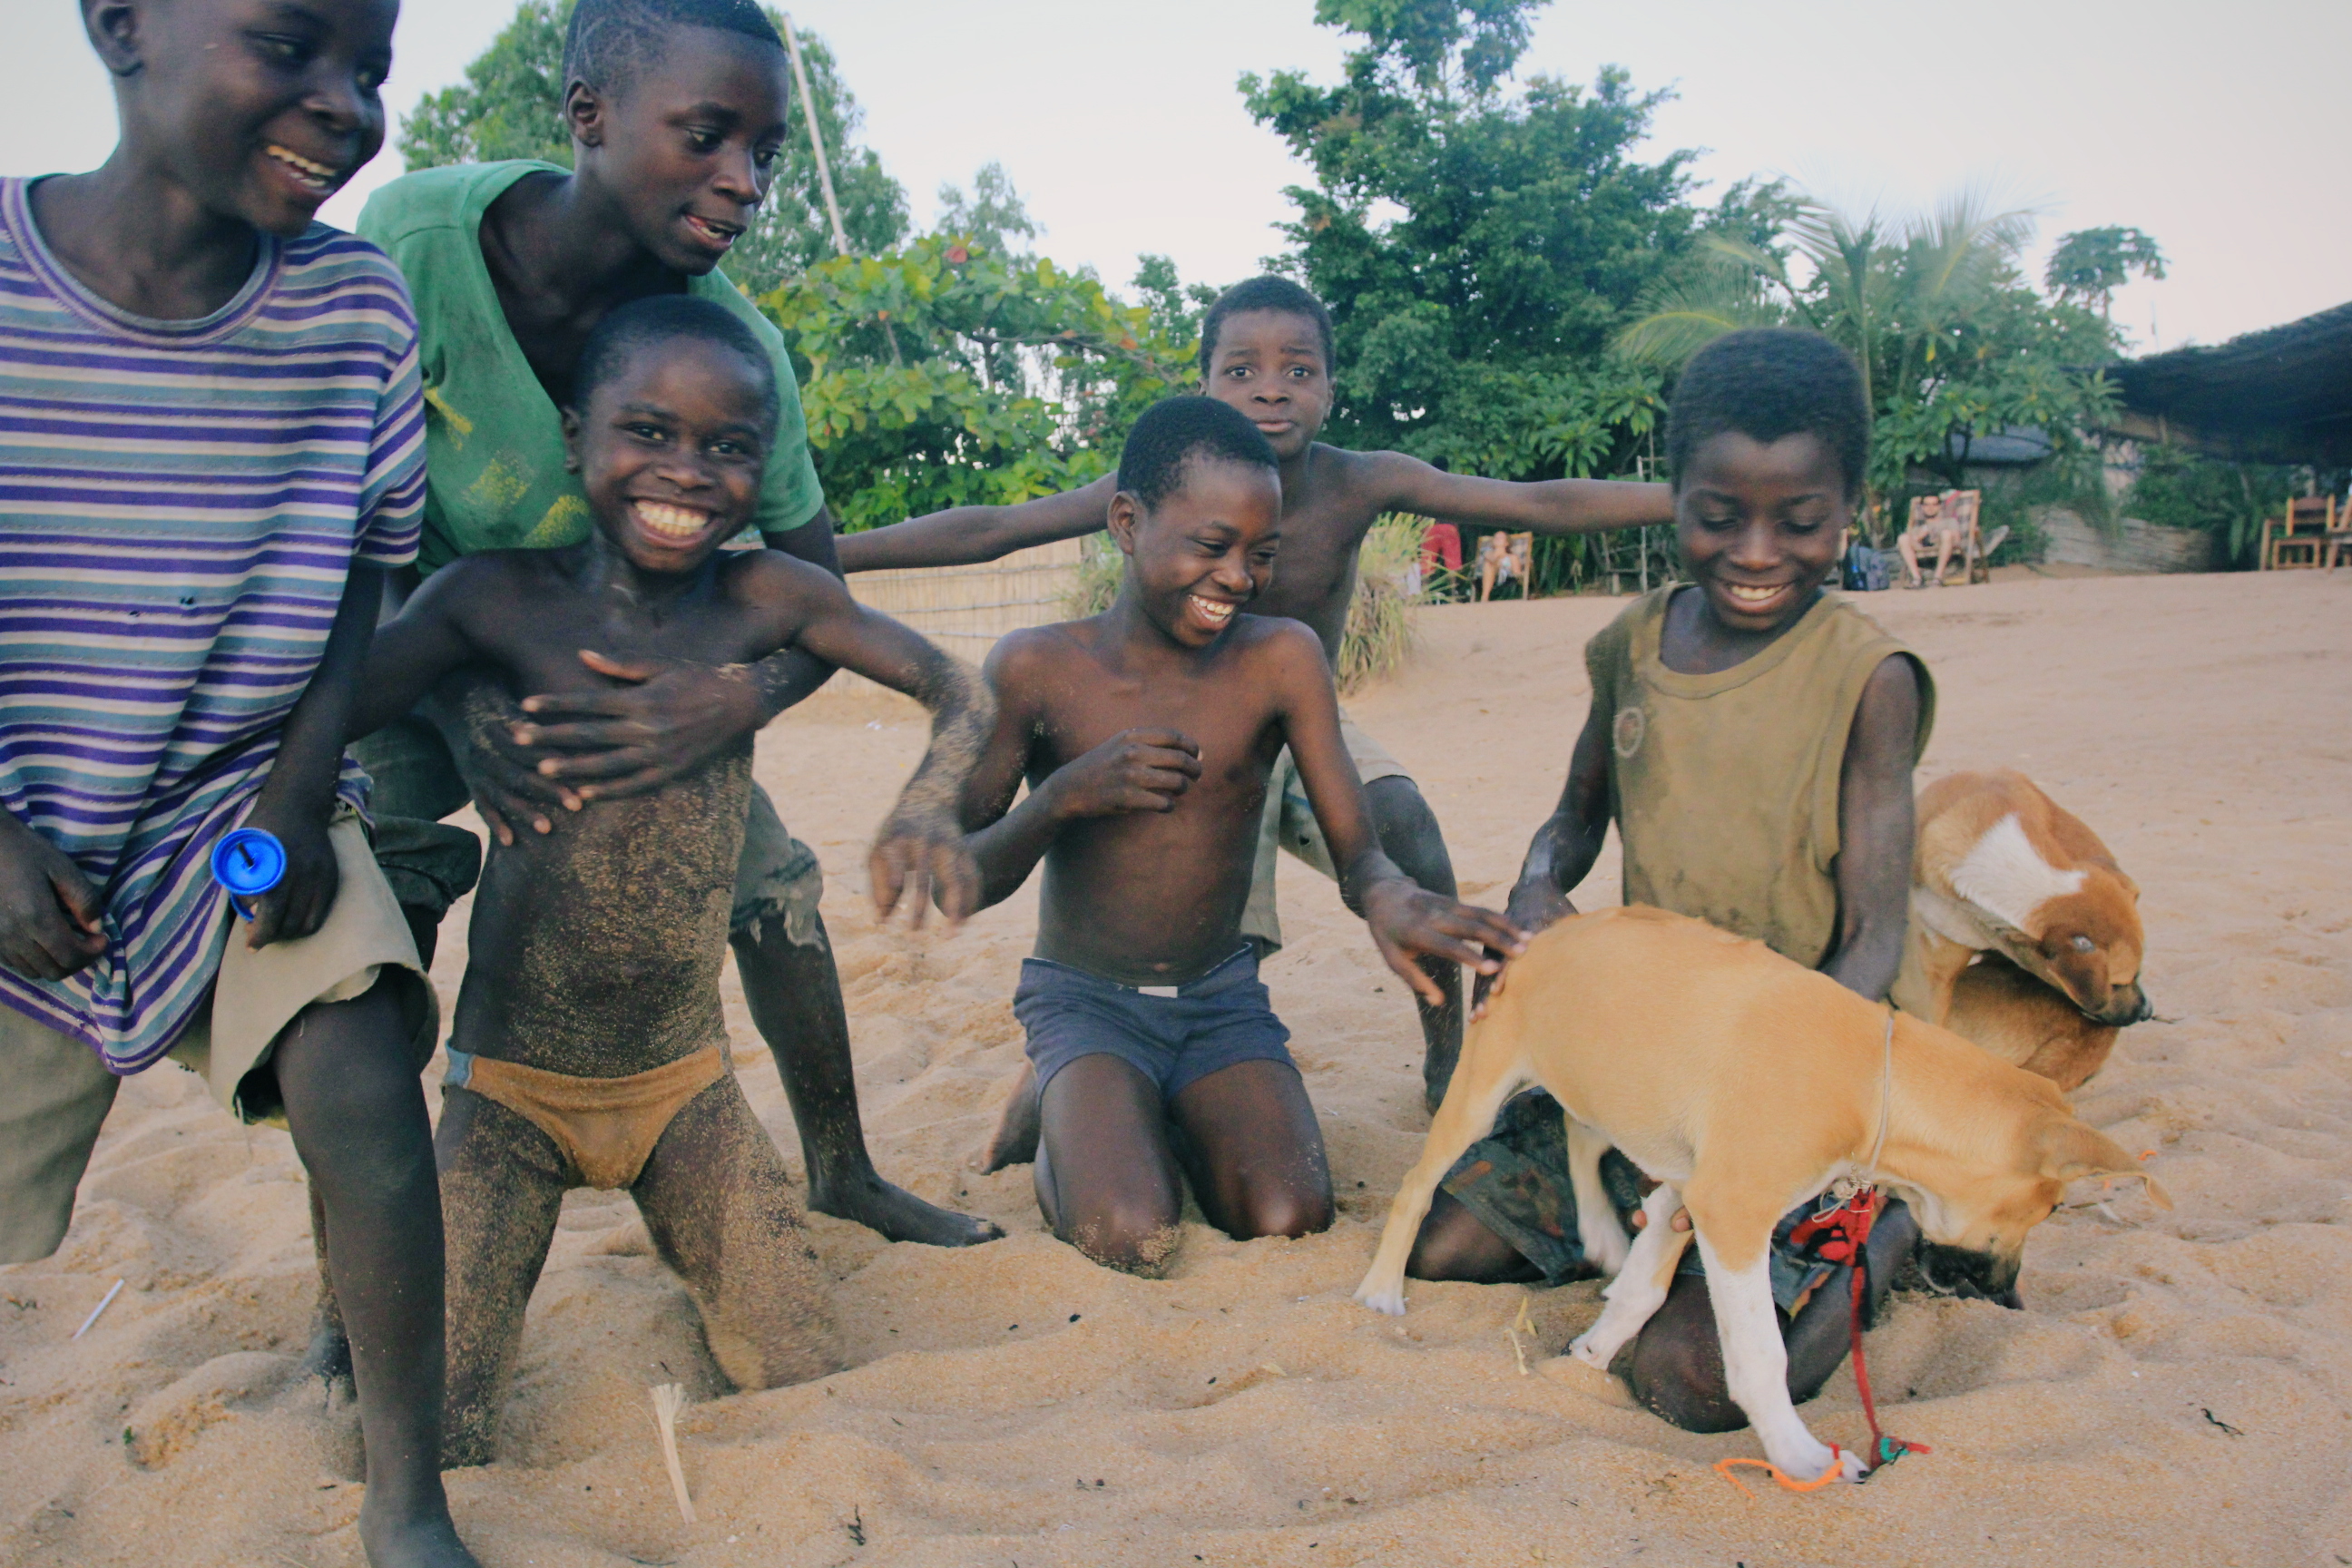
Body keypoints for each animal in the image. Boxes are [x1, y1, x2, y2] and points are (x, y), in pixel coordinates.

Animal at [1364, 907, 2163, 1485]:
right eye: (2050, 1209)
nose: (2009, 1297)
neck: (1873, 1079)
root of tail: (1546, 931)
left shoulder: (1690, 1196)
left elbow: (1645, 1291)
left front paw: (1593, 1352)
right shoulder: (1731, 1212)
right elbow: (1756, 1353)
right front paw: (1798, 1456)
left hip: (1607, 1077)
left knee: (1582, 1132)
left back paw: (1601, 1233)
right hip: (1484, 1083)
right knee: (1417, 1187)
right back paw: (1381, 1290)